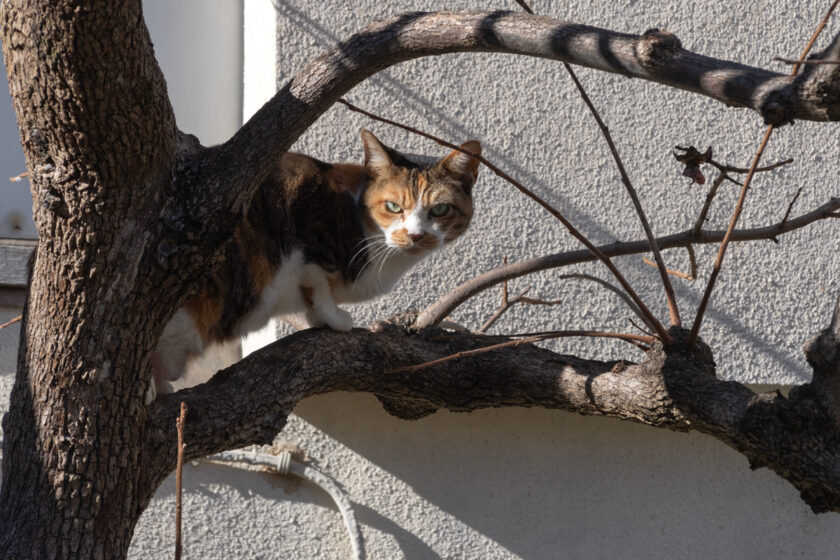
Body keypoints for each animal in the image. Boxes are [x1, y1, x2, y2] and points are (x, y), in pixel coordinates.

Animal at [149, 128, 480, 398]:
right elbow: (318, 282)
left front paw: (317, 319)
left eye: (439, 210)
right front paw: (335, 318)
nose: (415, 234)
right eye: (393, 206)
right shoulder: (310, 227)